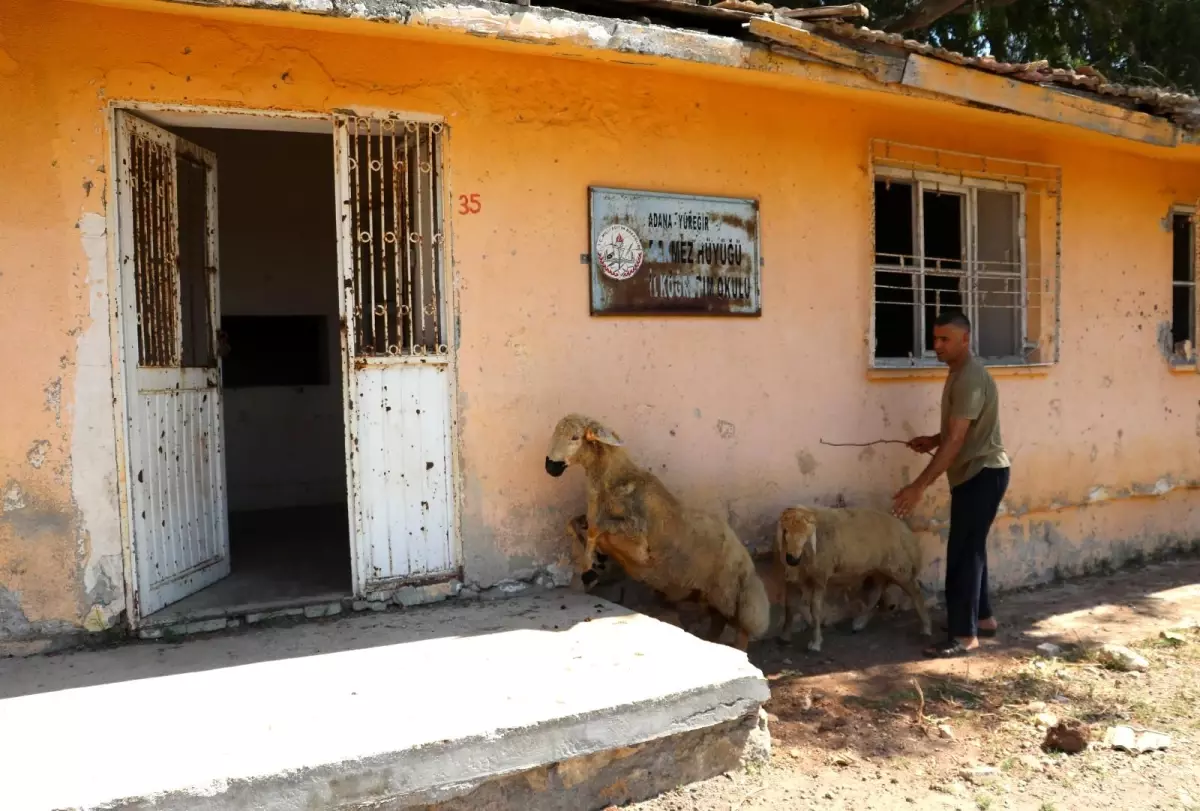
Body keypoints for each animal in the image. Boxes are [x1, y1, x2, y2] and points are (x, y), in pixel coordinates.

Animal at [547, 415, 768, 647]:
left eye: (575, 437)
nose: (550, 466)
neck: (615, 482)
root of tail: (746, 559)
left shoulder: (637, 541)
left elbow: (597, 528)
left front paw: (590, 568)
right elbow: (575, 523)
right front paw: (592, 564)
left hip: (730, 595)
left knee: (741, 629)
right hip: (711, 596)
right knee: (718, 621)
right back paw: (712, 641)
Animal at [772, 506, 931, 652]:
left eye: (805, 534)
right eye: (785, 531)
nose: (792, 559)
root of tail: (904, 529)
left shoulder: (820, 576)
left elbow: (815, 610)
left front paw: (816, 642)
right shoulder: (792, 578)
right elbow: (789, 606)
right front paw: (784, 636)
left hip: (899, 567)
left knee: (915, 593)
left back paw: (926, 628)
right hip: (879, 569)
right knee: (876, 593)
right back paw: (859, 622)